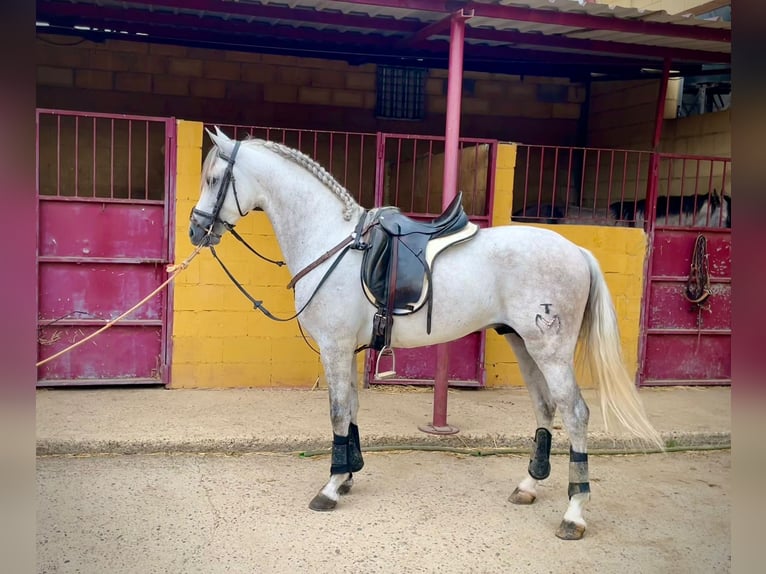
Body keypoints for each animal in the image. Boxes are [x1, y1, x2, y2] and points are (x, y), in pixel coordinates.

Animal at [189, 128, 664, 544]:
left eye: (213, 180)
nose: (196, 230)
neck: (332, 241)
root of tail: (576, 250)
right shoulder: (349, 350)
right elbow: (353, 408)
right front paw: (349, 473)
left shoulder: (335, 347)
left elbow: (338, 412)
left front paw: (331, 487)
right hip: (524, 344)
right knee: (546, 408)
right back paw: (528, 486)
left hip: (550, 350)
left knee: (576, 413)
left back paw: (574, 513)